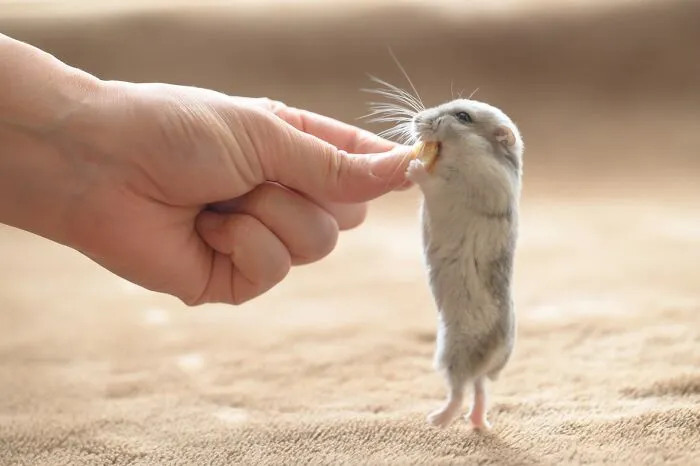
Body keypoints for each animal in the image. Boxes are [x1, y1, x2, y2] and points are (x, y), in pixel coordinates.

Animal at [404, 99, 524, 430]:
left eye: (463, 117)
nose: (416, 119)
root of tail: (495, 357)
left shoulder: (457, 188)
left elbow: (431, 183)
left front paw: (413, 167)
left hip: (453, 354)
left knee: (460, 392)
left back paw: (437, 420)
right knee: (480, 389)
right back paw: (479, 423)